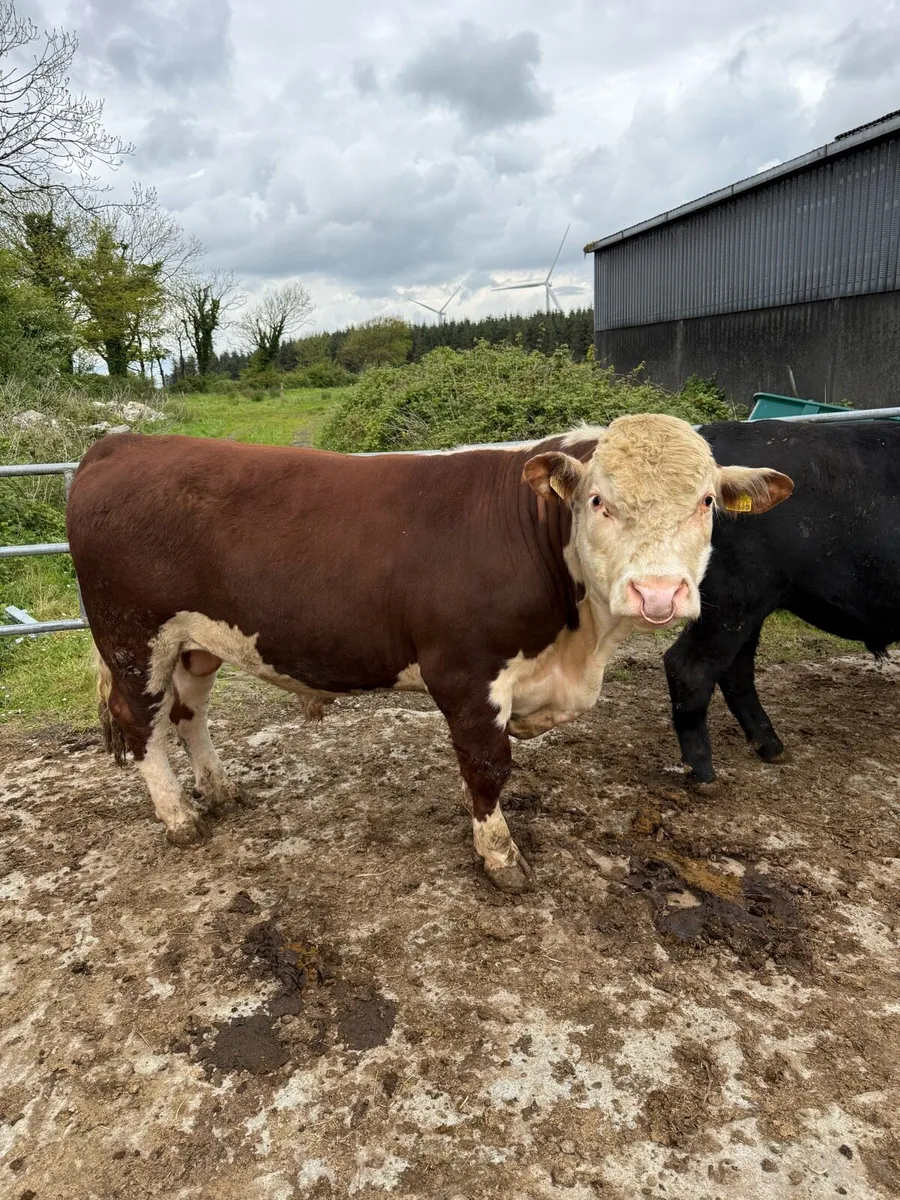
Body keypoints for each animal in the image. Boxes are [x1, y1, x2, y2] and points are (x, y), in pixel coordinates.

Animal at [65, 417, 792, 892]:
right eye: (598, 500)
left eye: (705, 502)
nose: (658, 593)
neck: (578, 645)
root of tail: (121, 444)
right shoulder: (466, 673)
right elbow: (488, 768)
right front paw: (501, 859)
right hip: (132, 638)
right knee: (142, 724)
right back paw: (180, 816)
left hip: (196, 642)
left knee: (188, 713)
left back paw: (218, 788)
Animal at [664, 418, 900, 784]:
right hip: (733, 599)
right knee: (690, 668)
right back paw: (703, 773)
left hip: (747, 606)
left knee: (735, 670)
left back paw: (770, 746)